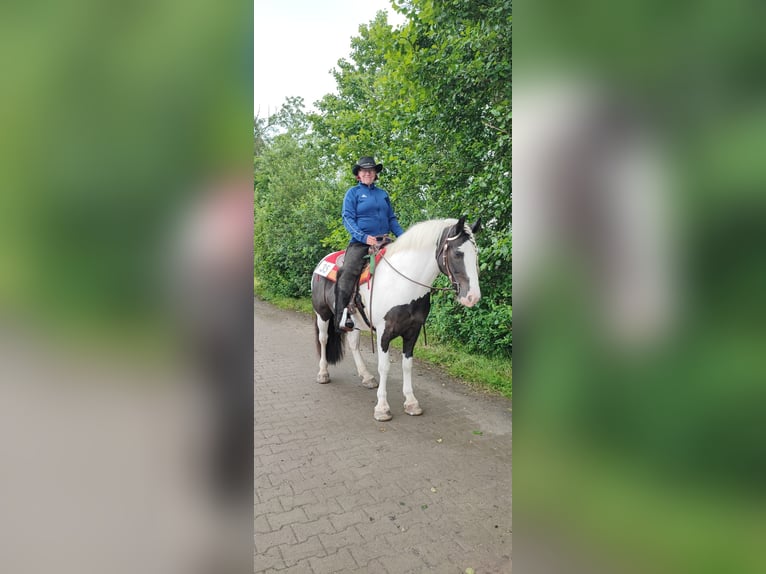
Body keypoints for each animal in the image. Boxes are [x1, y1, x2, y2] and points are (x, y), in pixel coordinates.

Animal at [310, 216, 480, 424]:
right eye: (457, 253)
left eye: (476, 253)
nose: (472, 297)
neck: (403, 285)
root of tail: (324, 260)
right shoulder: (385, 332)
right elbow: (384, 367)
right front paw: (382, 408)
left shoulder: (413, 331)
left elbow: (407, 365)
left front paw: (411, 402)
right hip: (322, 314)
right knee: (323, 339)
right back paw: (323, 373)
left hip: (353, 322)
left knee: (353, 344)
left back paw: (366, 377)